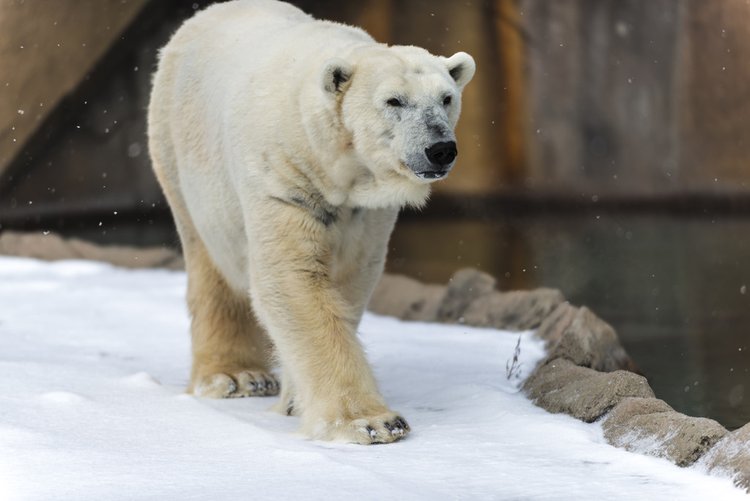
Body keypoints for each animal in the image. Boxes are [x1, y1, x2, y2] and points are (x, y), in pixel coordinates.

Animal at [147, 0, 475, 444]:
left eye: (446, 98)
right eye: (394, 101)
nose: (440, 149)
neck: (336, 165)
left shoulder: (368, 211)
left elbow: (348, 279)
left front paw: (295, 401)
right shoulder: (284, 175)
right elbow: (292, 278)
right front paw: (372, 422)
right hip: (181, 154)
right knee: (212, 259)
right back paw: (235, 376)